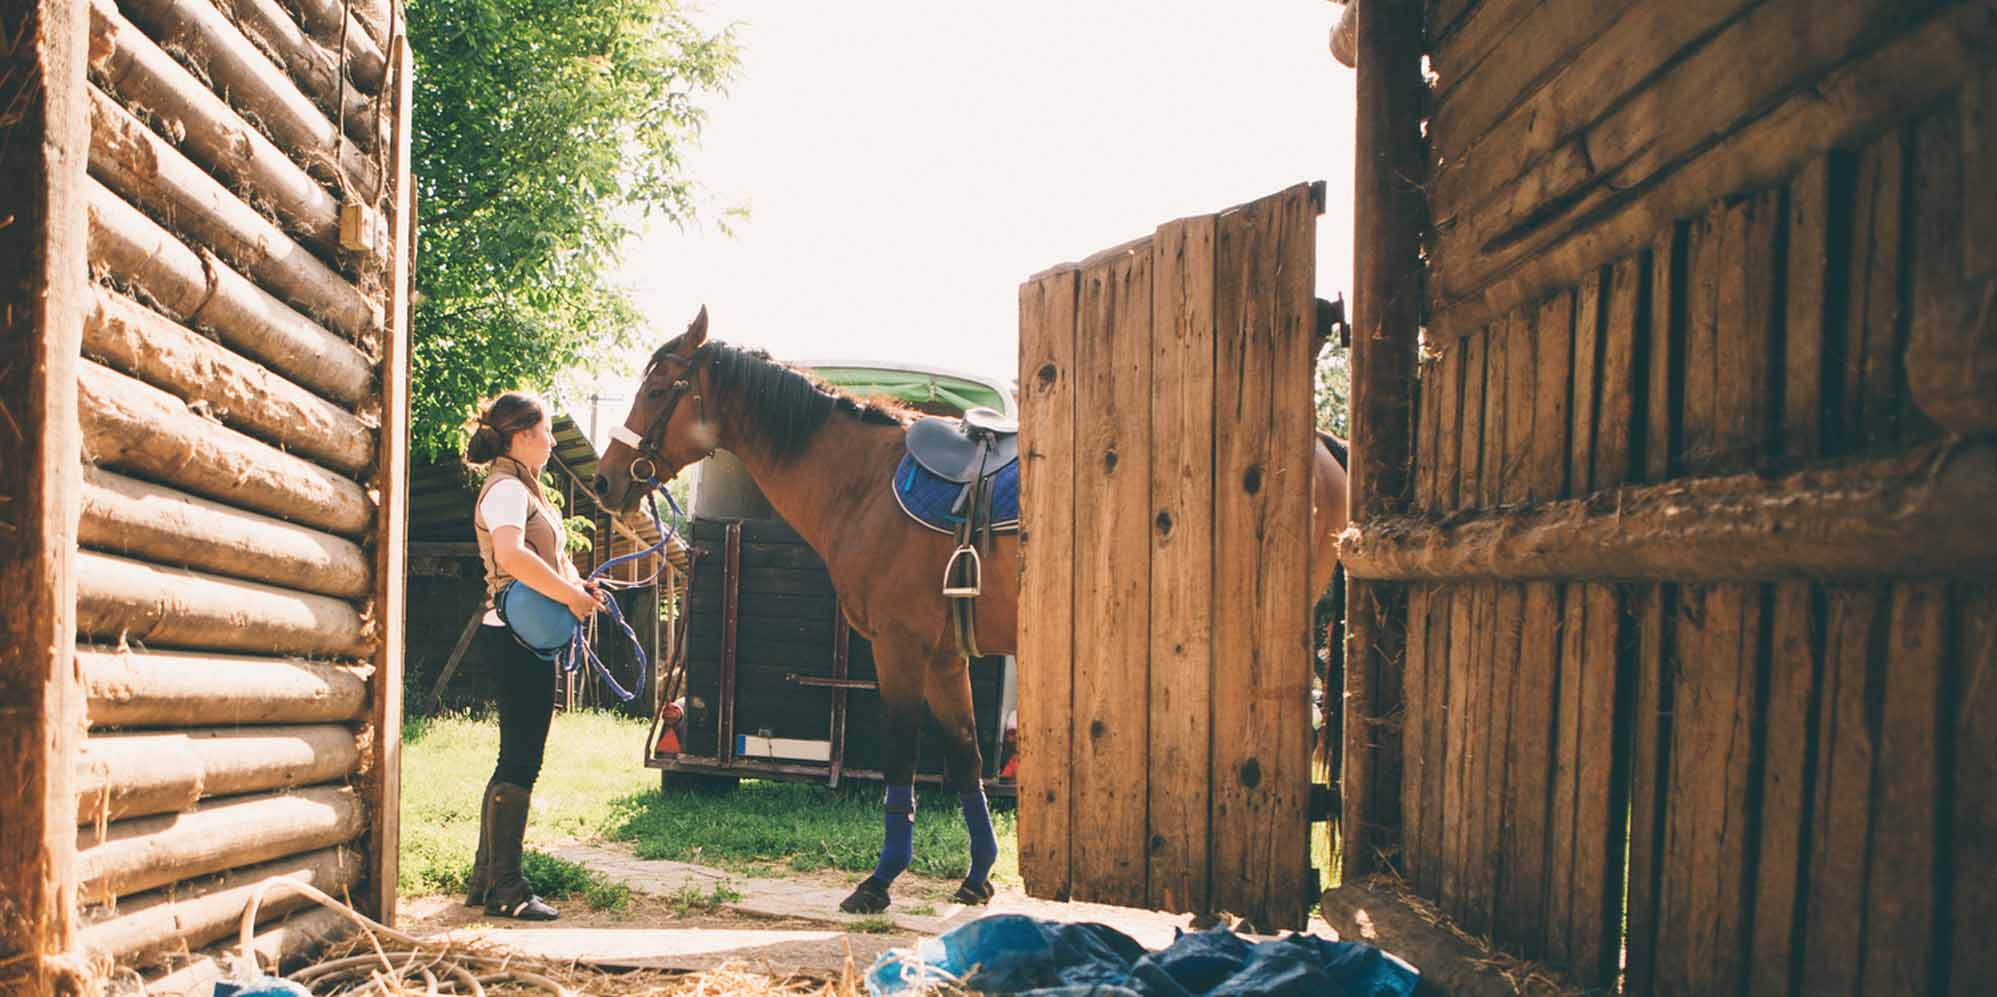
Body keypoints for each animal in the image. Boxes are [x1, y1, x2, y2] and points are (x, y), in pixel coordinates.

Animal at [583, 309, 1349, 915]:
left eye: (658, 389)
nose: (605, 480)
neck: (861, 479)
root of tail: (1323, 445)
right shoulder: (947, 657)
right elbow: (965, 757)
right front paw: (977, 878)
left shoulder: (898, 648)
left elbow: (901, 757)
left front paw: (877, 882)